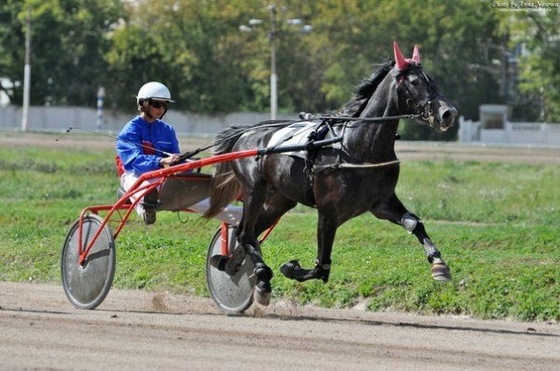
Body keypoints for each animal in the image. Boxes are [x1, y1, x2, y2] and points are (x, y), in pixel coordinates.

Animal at [203, 42, 458, 306]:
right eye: (415, 82)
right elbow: (321, 267)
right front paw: (290, 267)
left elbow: (414, 223)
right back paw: (260, 278)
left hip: (279, 200)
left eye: (433, 80)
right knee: (245, 233)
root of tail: (246, 133)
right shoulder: (328, 212)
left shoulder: (381, 203)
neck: (356, 147)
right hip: (255, 190)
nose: (448, 113)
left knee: (249, 233)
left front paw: (439, 264)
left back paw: (229, 264)